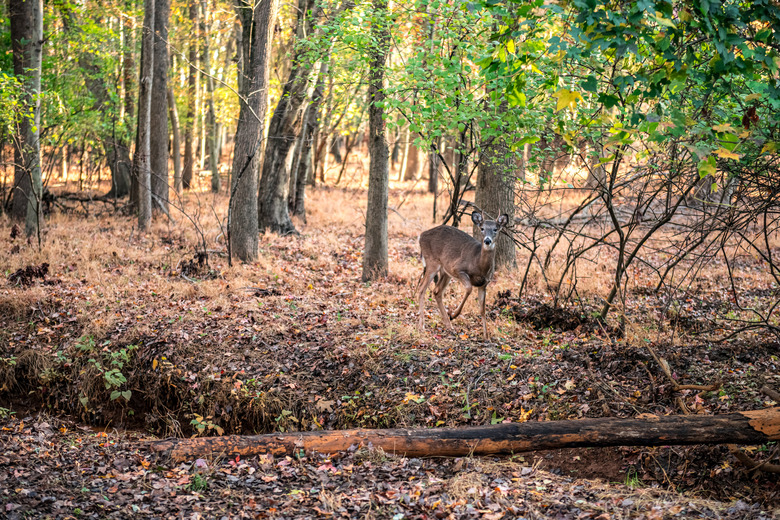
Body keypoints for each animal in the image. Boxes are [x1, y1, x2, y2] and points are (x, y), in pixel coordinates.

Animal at [414, 211, 512, 342]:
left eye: (495, 229)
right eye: (482, 228)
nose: (487, 241)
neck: (478, 264)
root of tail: (421, 236)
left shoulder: (484, 284)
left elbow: (482, 309)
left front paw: (486, 337)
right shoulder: (458, 270)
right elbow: (469, 289)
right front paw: (454, 314)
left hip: (445, 271)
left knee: (436, 291)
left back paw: (448, 325)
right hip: (432, 262)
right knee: (422, 289)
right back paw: (422, 326)